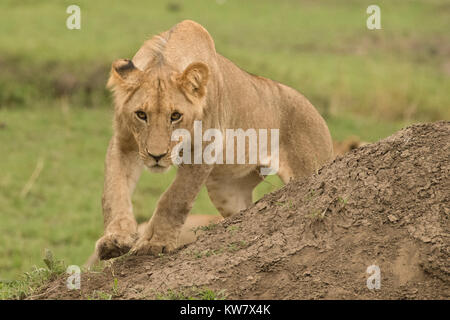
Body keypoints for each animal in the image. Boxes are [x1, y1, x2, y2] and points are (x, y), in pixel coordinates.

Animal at [95, 19, 334, 260]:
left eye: (175, 116)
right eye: (141, 114)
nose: (156, 156)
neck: (164, 59)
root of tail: (315, 111)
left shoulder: (206, 147)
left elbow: (176, 197)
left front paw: (154, 243)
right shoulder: (123, 143)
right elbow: (114, 191)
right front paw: (115, 240)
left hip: (310, 166)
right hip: (227, 190)